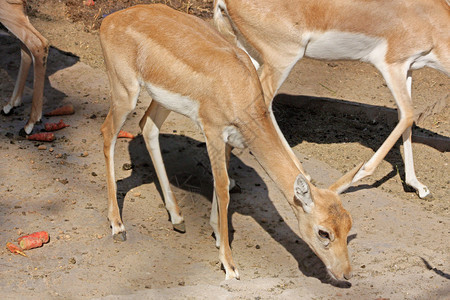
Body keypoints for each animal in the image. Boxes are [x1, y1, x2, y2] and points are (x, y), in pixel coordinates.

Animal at [99, 4, 362, 282]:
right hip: (125, 93)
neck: (239, 87)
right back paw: (118, 226)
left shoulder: (228, 139)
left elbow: (221, 178)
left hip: (161, 100)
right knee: (108, 132)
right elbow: (223, 186)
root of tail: (111, 19)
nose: (346, 273)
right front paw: (229, 264)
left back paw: (178, 218)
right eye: (324, 232)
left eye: (348, 224)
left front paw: (215, 233)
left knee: (148, 127)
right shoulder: (213, 132)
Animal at [214, 0, 450, 199]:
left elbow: (405, 118)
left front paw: (418, 186)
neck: (429, 18)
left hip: (251, 55)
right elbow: (408, 115)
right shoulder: (392, 66)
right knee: (261, 103)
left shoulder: (408, 69)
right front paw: (342, 185)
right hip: (283, 59)